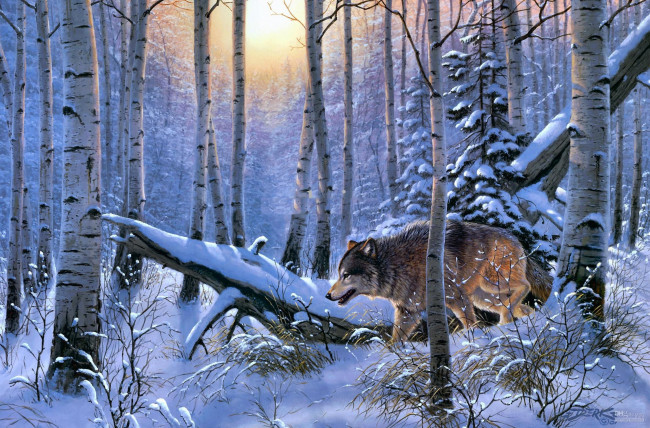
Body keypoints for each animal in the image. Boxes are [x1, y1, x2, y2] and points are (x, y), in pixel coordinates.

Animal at [325, 221, 552, 342]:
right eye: (339, 274)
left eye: (346, 275)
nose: (327, 295)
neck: (398, 266)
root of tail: (515, 238)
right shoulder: (408, 312)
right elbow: (395, 339)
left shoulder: (457, 298)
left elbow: (470, 324)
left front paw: (474, 340)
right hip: (485, 299)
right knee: (523, 307)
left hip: (492, 284)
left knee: (525, 286)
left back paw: (505, 320)